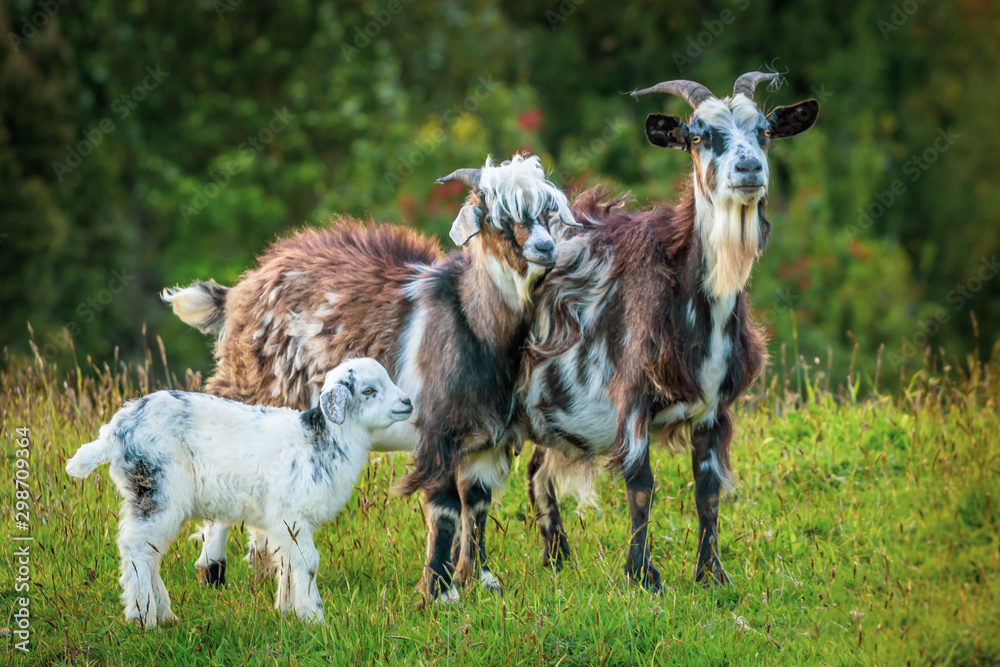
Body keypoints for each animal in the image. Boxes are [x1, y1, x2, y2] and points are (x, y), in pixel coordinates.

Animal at [65, 358, 411, 626]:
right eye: (369, 391)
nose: (407, 403)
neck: (322, 441)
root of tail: (113, 432)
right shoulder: (292, 515)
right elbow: (308, 562)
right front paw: (315, 618)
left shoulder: (282, 524)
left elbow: (287, 562)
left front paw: (287, 611)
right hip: (156, 488)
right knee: (137, 548)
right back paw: (144, 617)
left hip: (145, 493)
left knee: (147, 552)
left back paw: (164, 615)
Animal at [162, 153, 578, 602]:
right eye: (498, 218)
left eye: (548, 212)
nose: (545, 248)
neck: (471, 324)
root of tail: (239, 292)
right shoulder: (438, 430)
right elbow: (446, 507)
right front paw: (439, 591)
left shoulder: (487, 438)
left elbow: (478, 505)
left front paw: (481, 580)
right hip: (249, 391)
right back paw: (213, 569)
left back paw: (261, 568)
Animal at [521, 73, 820, 589]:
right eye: (698, 136)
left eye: (764, 131)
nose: (749, 168)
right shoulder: (632, 396)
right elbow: (642, 487)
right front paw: (641, 575)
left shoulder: (715, 410)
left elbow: (708, 491)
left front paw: (712, 573)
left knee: (538, 469)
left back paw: (557, 557)